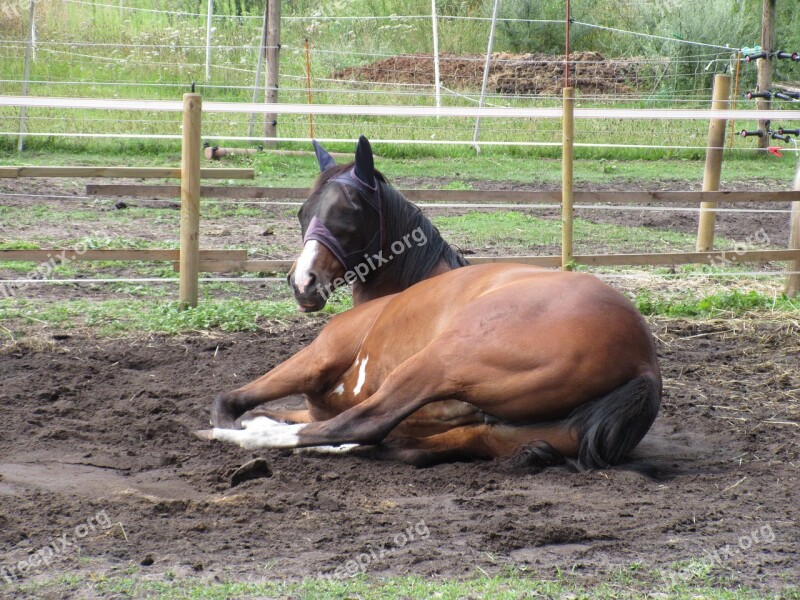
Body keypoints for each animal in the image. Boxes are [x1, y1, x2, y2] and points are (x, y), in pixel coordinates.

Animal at [195, 136, 664, 468]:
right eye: (302, 211)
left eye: (349, 212)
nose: (303, 283)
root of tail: (643, 362)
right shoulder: (313, 407)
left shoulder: (317, 357)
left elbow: (228, 401)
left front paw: (235, 427)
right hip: (495, 431)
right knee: (390, 444)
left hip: (437, 363)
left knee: (366, 424)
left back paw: (252, 438)